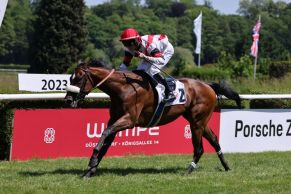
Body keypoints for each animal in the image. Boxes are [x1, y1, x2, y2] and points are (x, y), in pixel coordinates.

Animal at [65, 60, 241, 177]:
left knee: (199, 149)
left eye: (78, 78)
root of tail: (208, 86)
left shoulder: (129, 120)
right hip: (199, 121)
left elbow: (105, 133)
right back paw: (226, 166)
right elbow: (106, 140)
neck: (123, 88)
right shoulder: (115, 119)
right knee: (214, 140)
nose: (67, 100)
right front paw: (90, 170)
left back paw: (189, 170)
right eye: (70, 78)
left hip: (197, 122)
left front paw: (92, 160)